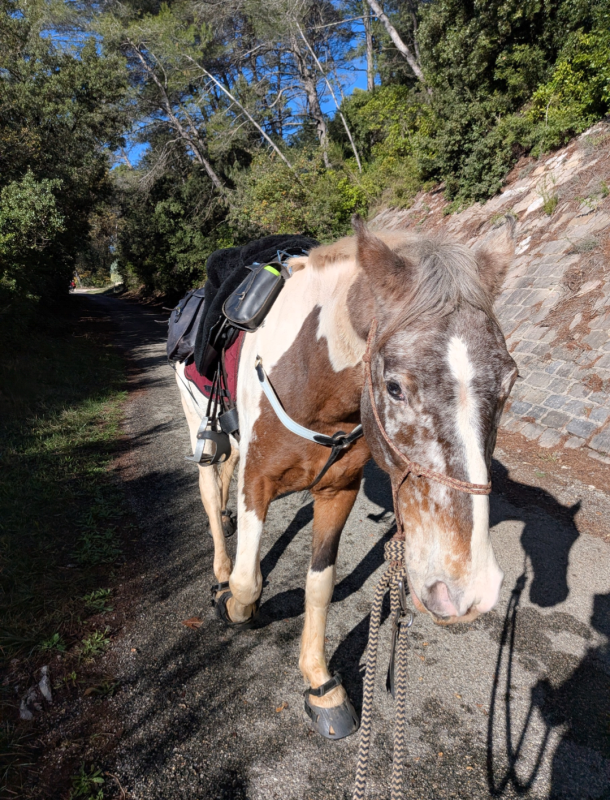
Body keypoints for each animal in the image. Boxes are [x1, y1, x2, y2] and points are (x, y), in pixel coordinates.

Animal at [174, 216, 518, 739]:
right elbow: (247, 582)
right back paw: (218, 568)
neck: (310, 376)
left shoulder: (338, 490)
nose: (467, 590)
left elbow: (321, 584)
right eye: (393, 387)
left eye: (509, 383)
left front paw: (320, 684)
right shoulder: (257, 482)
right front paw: (232, 602)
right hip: (200, 423)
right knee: (211, 494)